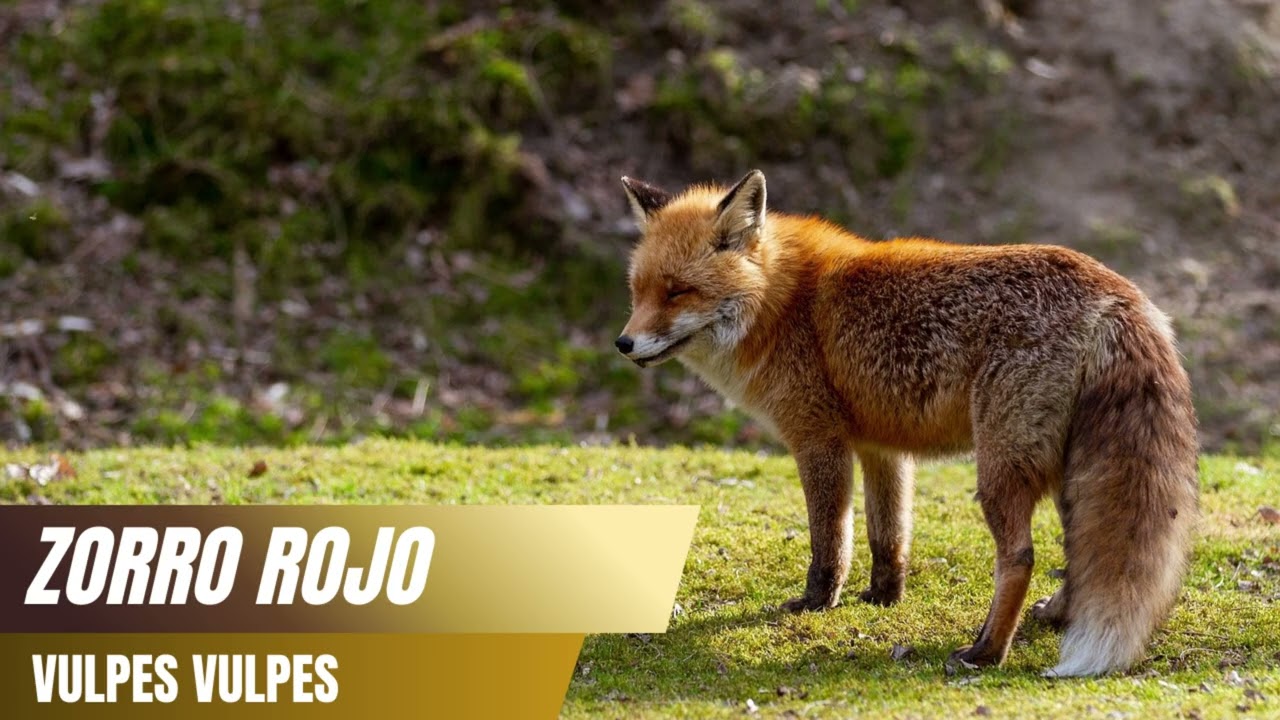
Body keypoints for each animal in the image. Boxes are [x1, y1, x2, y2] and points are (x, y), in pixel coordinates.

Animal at [614, 169, 1199, 677]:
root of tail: (1118, 292)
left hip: (1001, 469)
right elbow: (887, 534)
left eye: (677, 291)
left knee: (1020, 557)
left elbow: (830, 539)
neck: (781, 303)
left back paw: (986, 651)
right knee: (1078, 552)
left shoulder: (818, 438)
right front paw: (883, 597)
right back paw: (1055, 616)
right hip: (1068, 470)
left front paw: (817, 601)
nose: (623, 343)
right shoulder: (881, 446)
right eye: (638, 292)